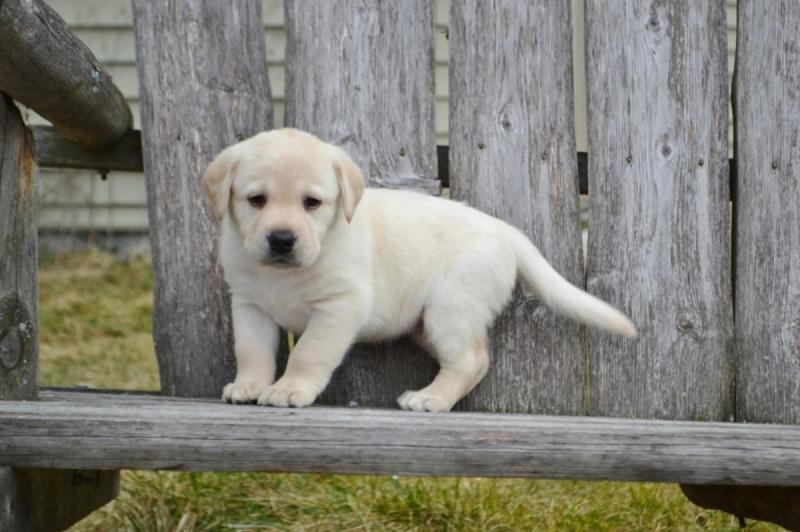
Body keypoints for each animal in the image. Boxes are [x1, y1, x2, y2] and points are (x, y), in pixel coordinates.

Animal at [206, 128, 636, 412]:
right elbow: (252, 351)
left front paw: (289, 389)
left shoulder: (339, 306)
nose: (282, 239)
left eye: (312, 202)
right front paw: (248, 385)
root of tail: (504, 230)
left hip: (451, 309)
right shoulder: (249, 306)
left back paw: (431, 398)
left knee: (471, 361)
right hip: (427, 322)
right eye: (256, 200)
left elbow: (309, 353)